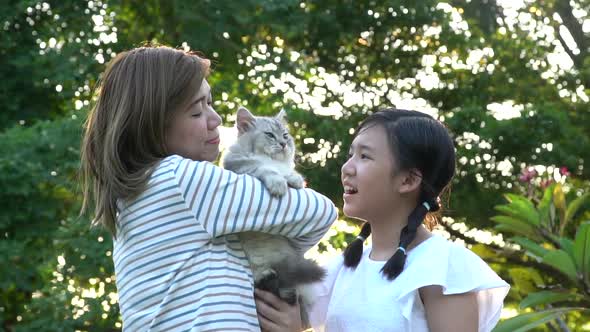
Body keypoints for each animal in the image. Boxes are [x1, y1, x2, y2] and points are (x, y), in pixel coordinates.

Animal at [222, 106, 326, 326]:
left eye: (285, 135)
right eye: (270, 135)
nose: (283, 143)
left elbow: (289, 174)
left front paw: (295, 181)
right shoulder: (243, 167)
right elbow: (266, 170)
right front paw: (279, 185)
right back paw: (268, 277)